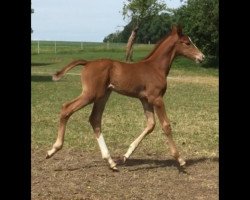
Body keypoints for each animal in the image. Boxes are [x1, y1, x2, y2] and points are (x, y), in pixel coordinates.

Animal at [46, 25, 204, 171]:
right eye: (187, 43)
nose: (202, 57)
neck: (155, 67)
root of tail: (88, 63)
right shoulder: (157, 98)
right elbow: (166, 125)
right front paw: (180, 159)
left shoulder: (145, 100)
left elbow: (150, 125)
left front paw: (126, 155)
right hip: (90, 94)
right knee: (67, 108)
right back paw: (53, 150)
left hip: (103, 95)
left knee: (94, 119)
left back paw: (111, 161)